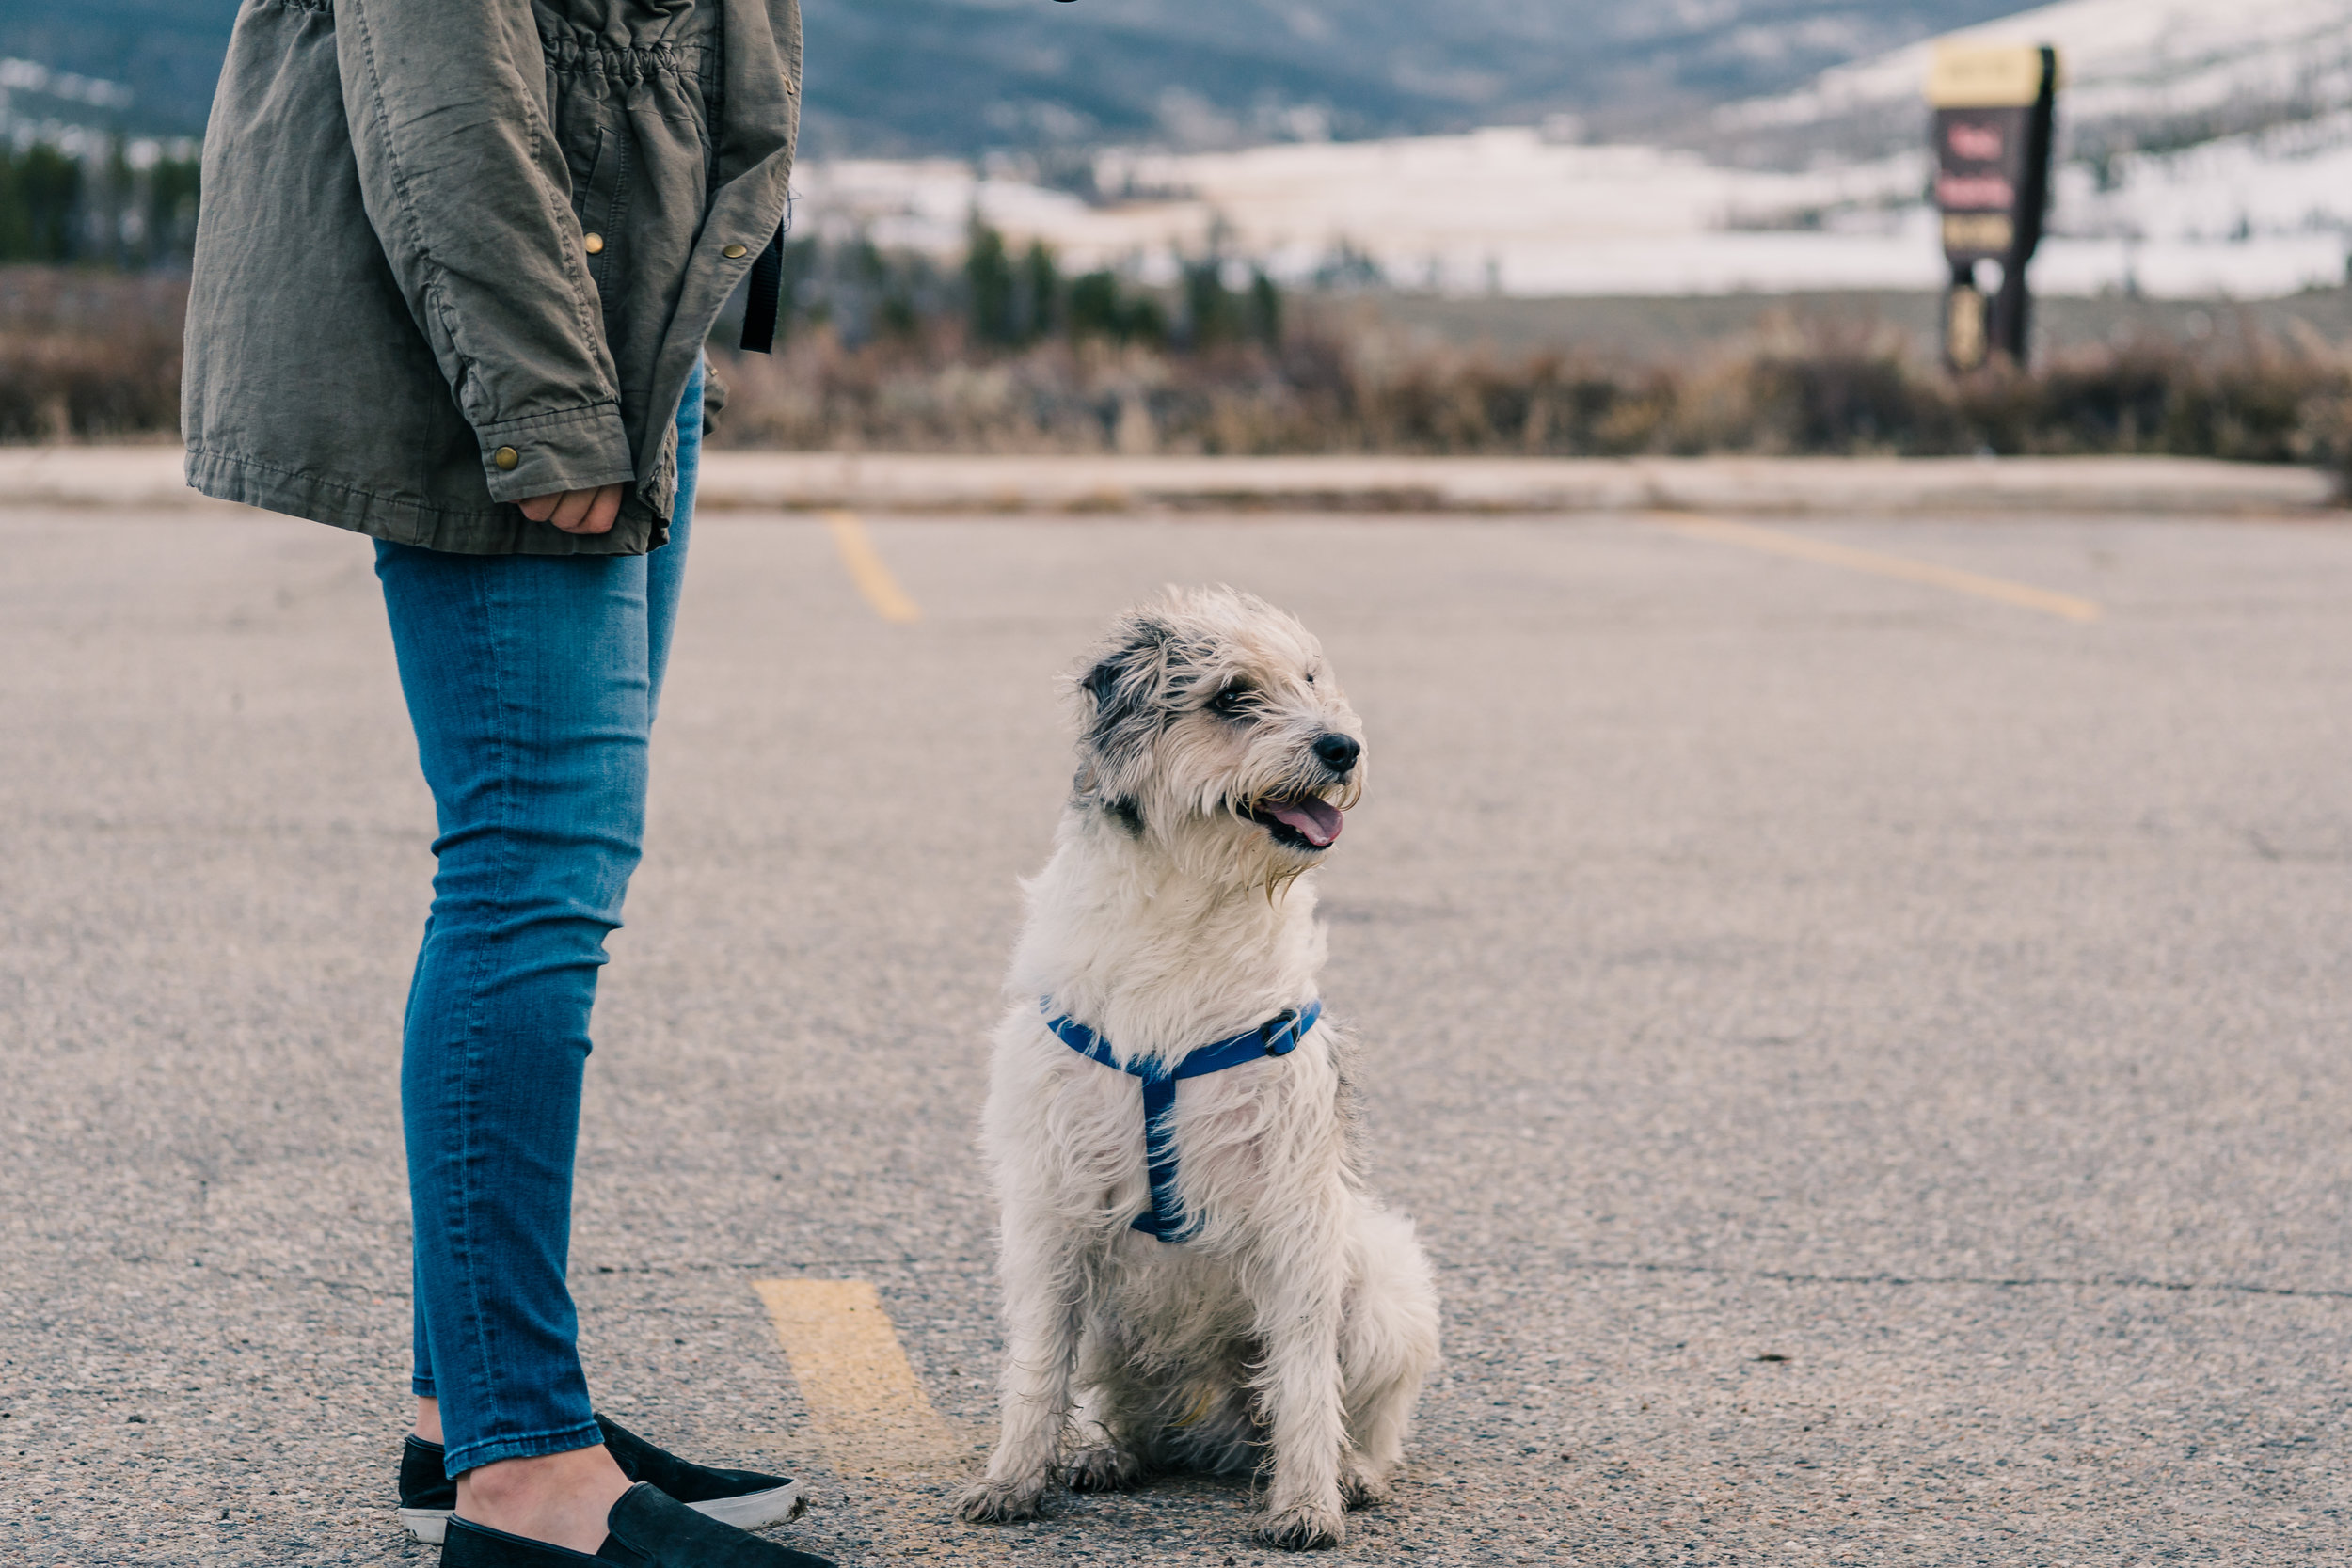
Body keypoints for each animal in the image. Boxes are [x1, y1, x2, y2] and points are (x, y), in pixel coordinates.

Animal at [950, 592, 1430, 1560]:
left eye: (1311, 680)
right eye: (1232, 695)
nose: (1343, 747)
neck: (1190, 910)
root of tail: (1214, 1433)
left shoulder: (1296, 1208)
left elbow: (1305, 1381)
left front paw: (1308, 1501)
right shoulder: (1050, 1207)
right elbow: (1036, 1365)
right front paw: (1014, 1478)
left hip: (1382, 1279)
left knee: (1363, 1410)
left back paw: (1353, 1470)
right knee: (1119, 1403)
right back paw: (1105, 1450)